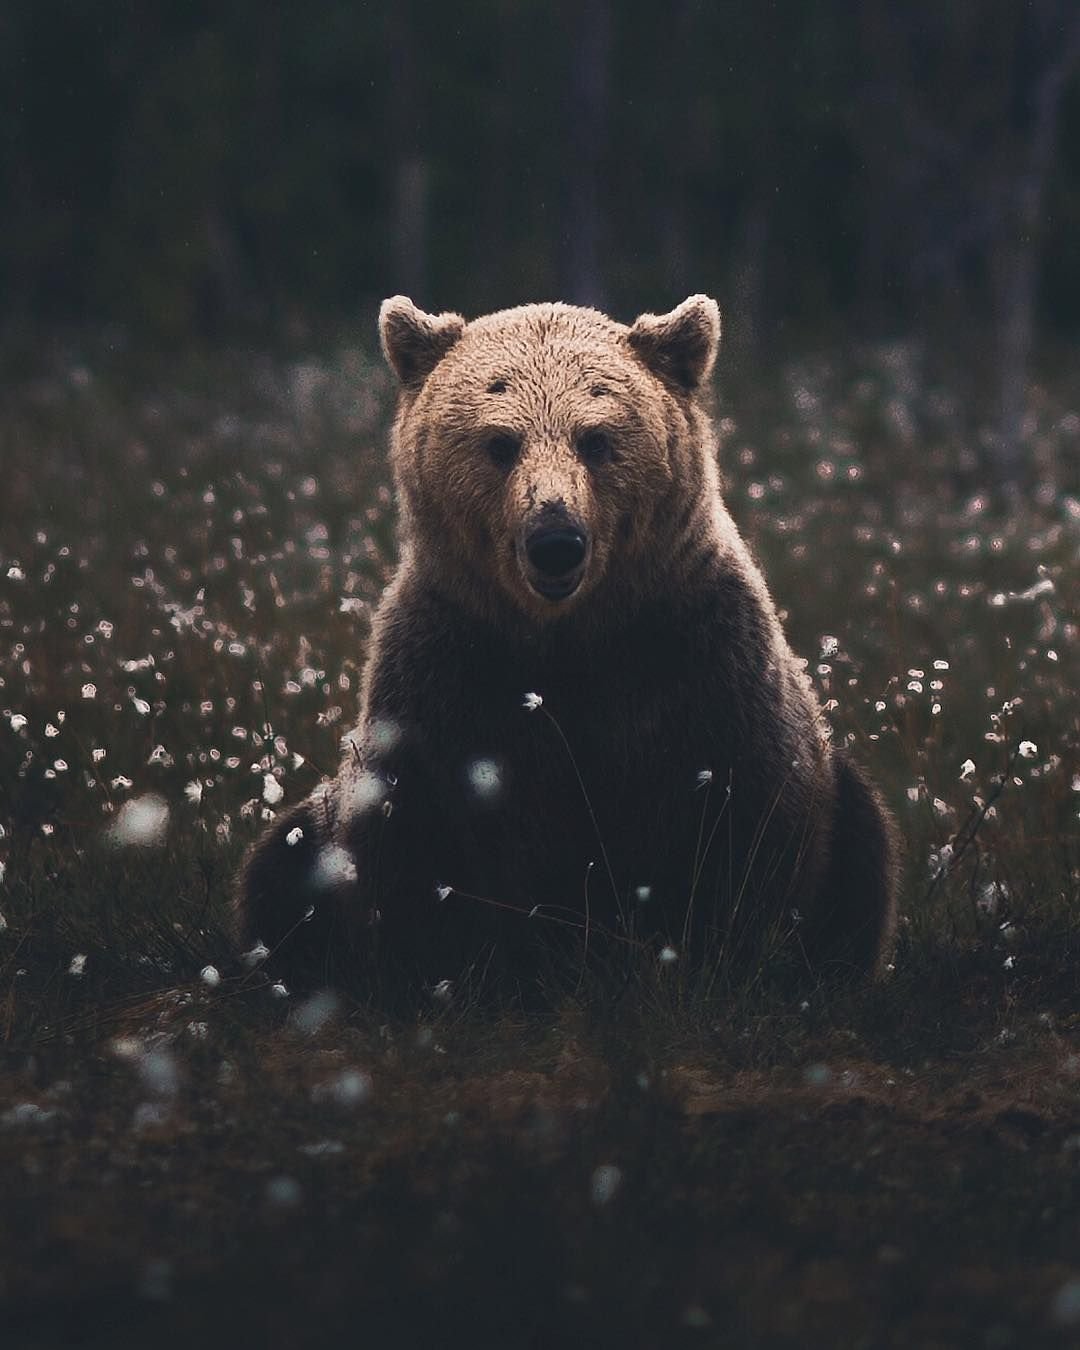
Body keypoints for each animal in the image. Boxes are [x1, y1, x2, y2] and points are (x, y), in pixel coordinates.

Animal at [236, 294, 898, 998]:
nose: (556, 540)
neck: (569, 636)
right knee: (280, 859)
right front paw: (448, 973)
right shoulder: (449, 673)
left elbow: (747, 823)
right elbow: (417, 845)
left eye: (596, 438)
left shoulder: (700, 658)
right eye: (500, 442)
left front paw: (724, 958)